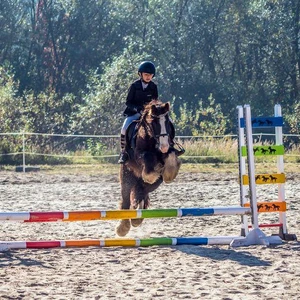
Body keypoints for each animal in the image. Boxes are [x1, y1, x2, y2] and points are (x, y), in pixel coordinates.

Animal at [116, 99, 184, 236]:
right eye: (154, 123)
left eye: (167, 122)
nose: (163, 146)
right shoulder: (138, 155)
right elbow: (148, 157)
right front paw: (151, 174)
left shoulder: (168, 151)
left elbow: (171, 155)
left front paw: (169, 173)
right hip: (126, 177)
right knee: (126, 199)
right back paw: (123, 227)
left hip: (154, 185)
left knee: (141, 191)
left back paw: (137, 218)